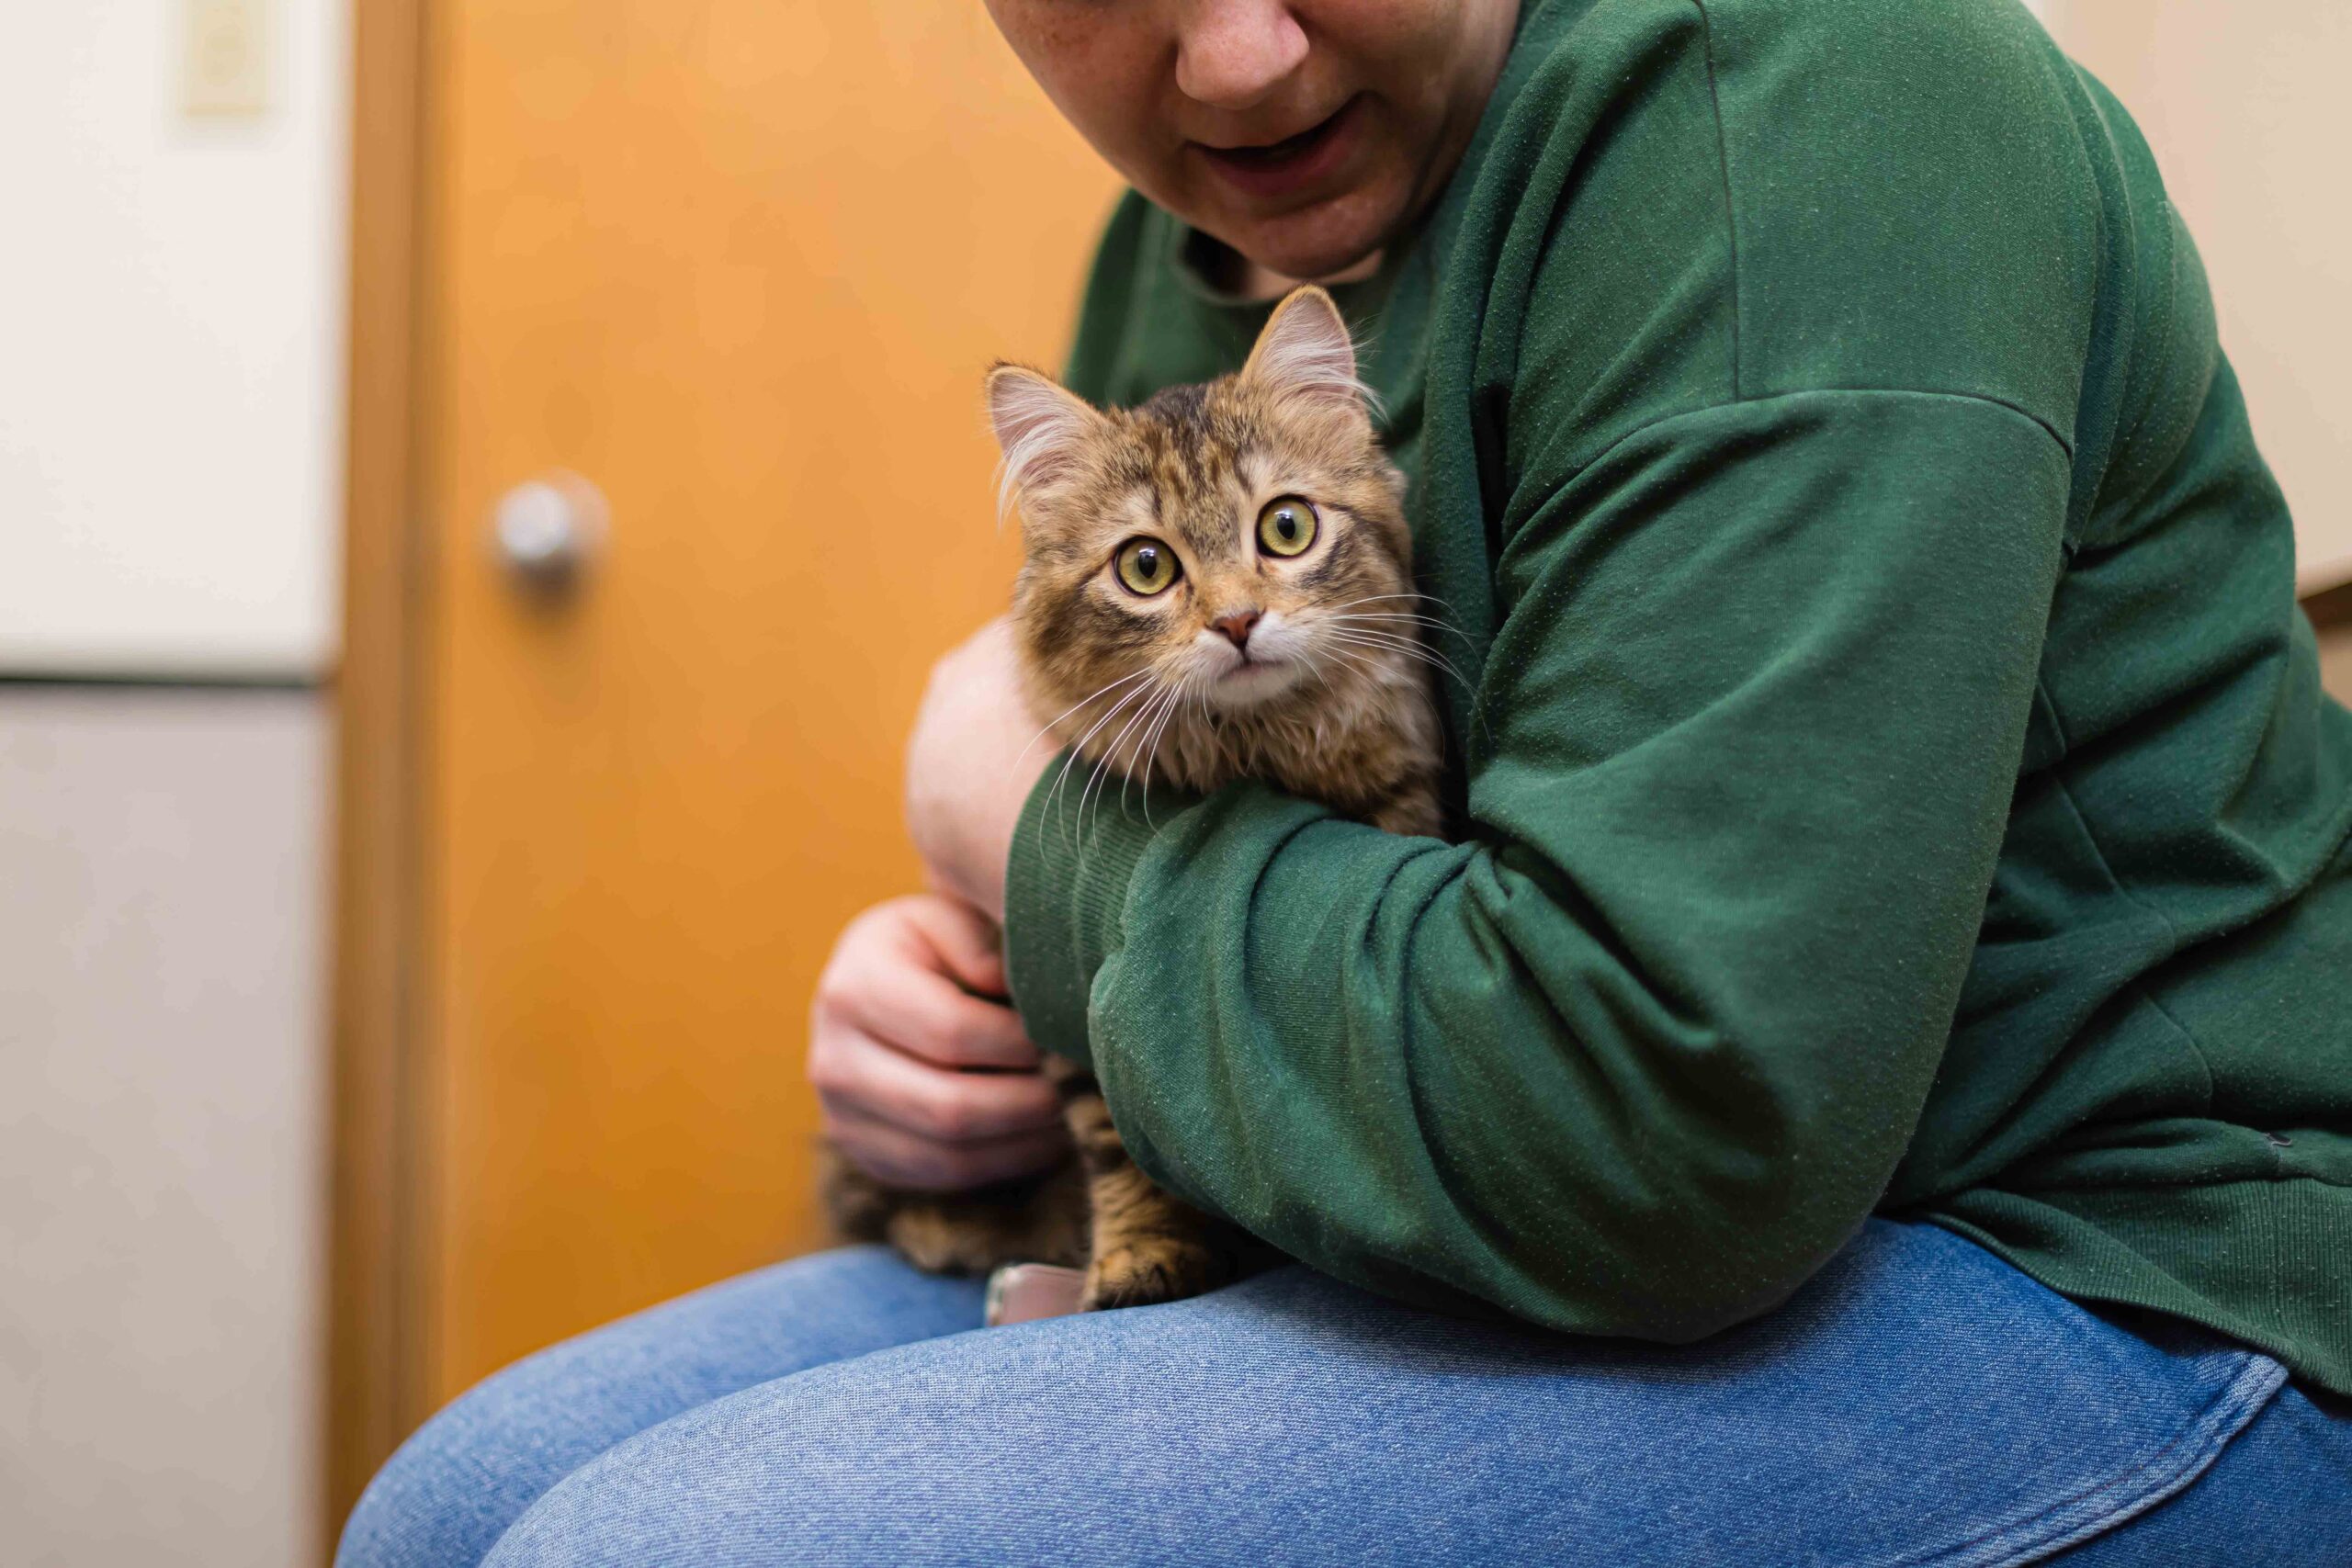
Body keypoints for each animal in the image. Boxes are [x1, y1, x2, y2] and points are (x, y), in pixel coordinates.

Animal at [828, 285, 1448, 1316]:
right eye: (1146, 567)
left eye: (1286, 528)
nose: (1237, 621)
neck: (1255, 750)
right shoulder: (1053, 991)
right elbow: (1121, 1143)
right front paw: (1141, 1260)